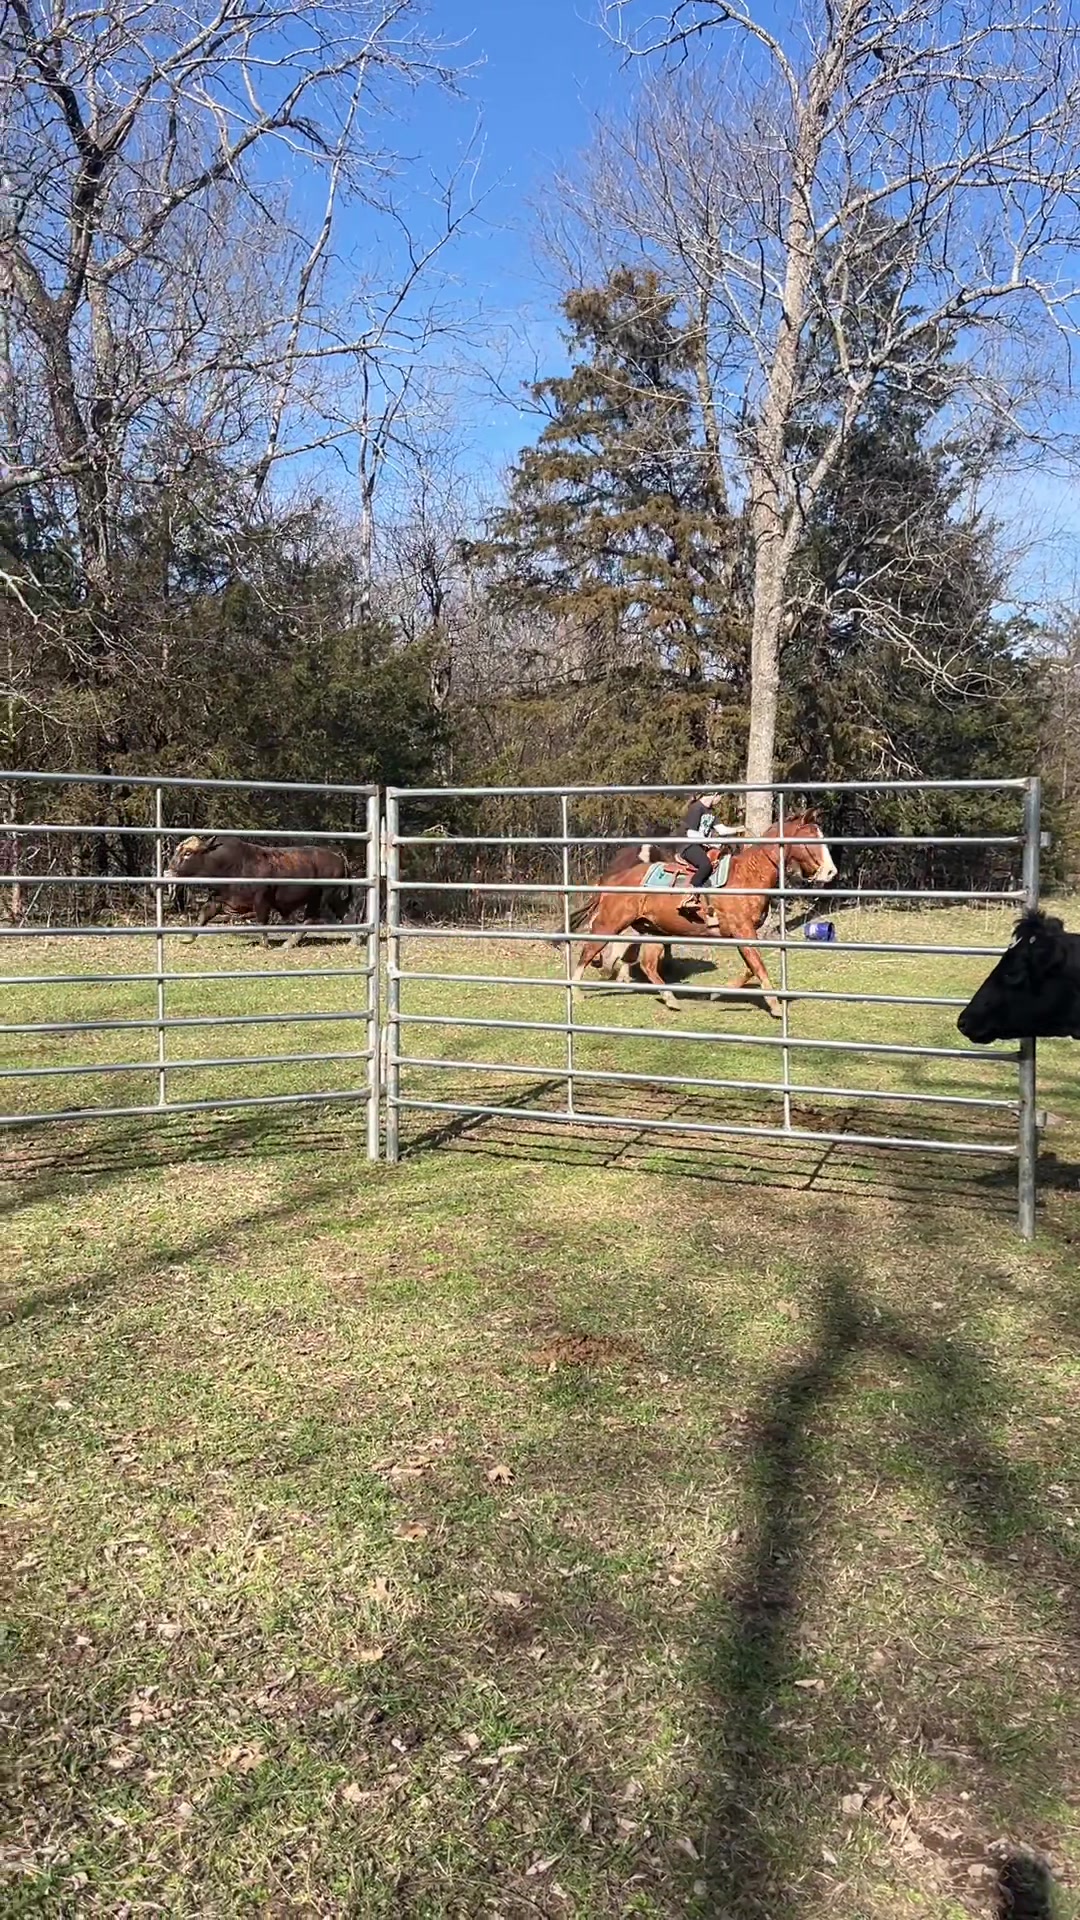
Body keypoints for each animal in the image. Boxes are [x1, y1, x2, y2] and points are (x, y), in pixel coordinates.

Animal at [162, 834, 357, 949]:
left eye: (188, 853)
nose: (168, 872)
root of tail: (338, 856)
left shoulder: (261, 900)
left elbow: (262, 921)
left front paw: (264, 944)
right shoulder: (218, 899)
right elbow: (203, 915)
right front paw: (188, 938)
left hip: (324, 897)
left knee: (315, 918)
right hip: (330, 898)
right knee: (343, 915)